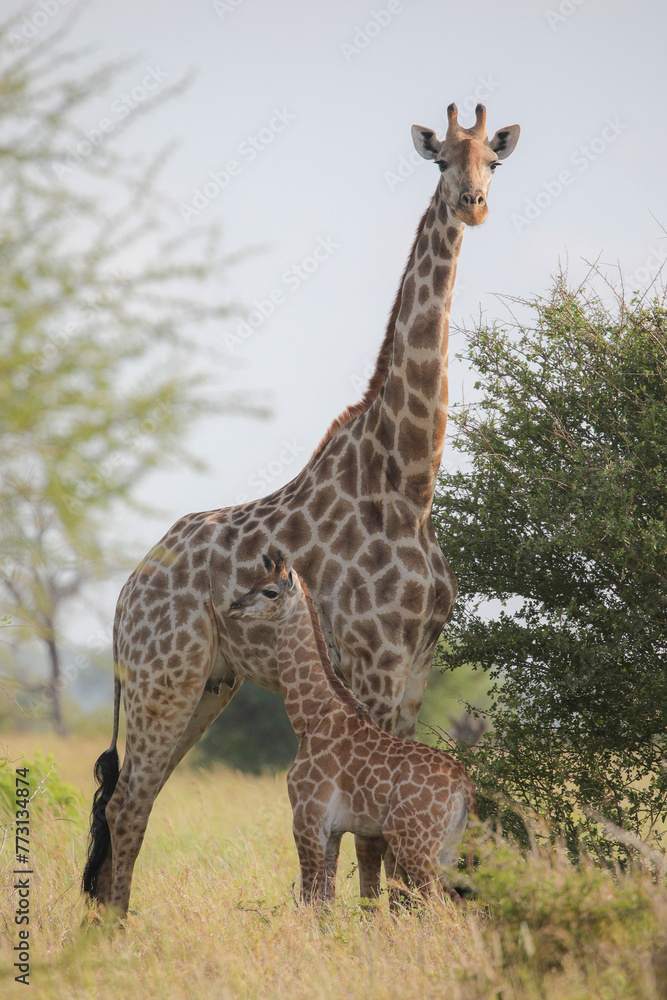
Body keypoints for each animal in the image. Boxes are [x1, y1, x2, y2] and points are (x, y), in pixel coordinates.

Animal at [228, 554, 477, 905]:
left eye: (269, 591)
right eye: (253, 583)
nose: (234, 606)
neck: (310, 717)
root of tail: (465, 788)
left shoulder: (307, 820)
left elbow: (309, 899)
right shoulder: (333, 831)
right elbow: (326, 902)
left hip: (413, 842)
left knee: (442, 905)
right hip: (449, 849)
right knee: (462, 904)